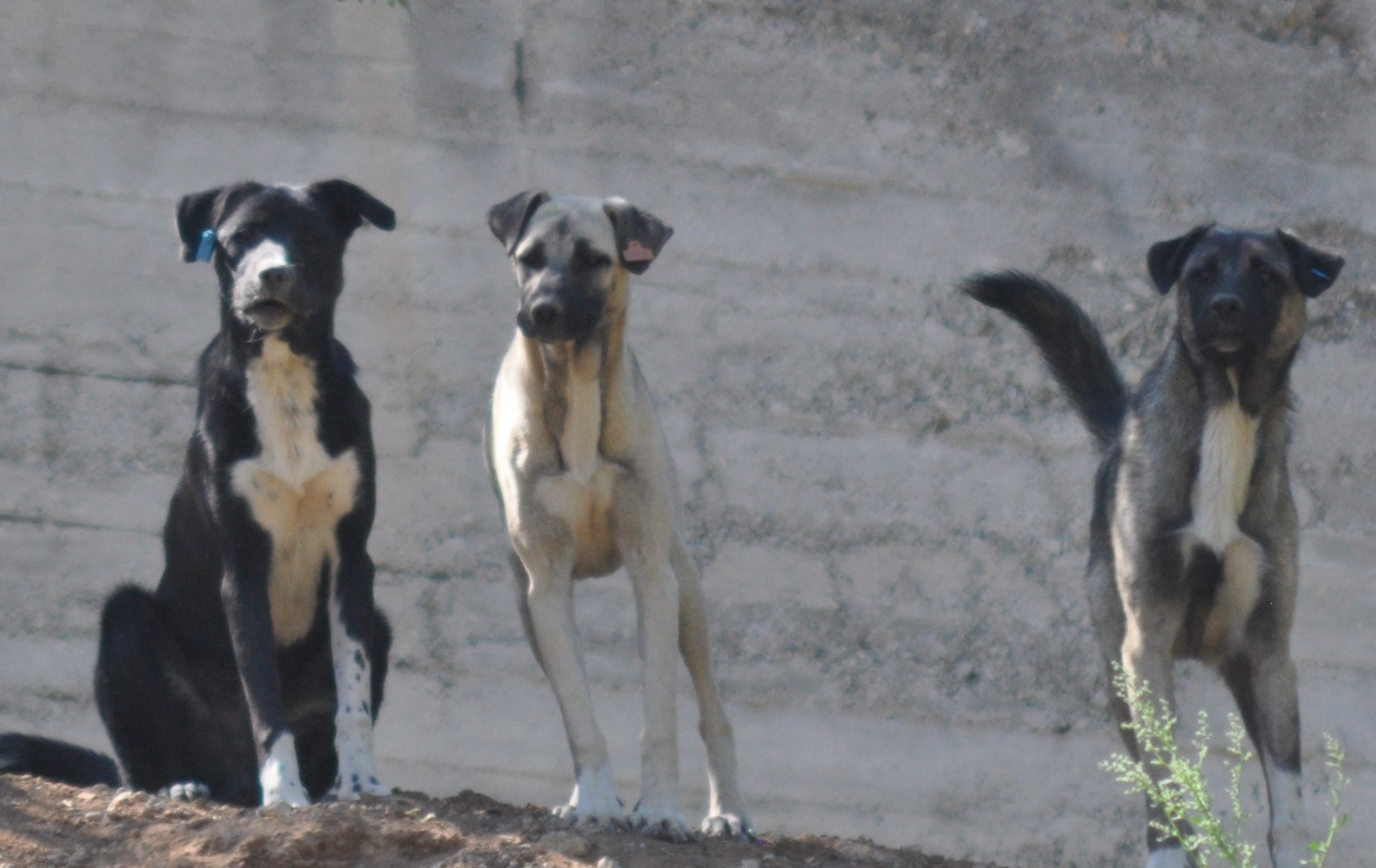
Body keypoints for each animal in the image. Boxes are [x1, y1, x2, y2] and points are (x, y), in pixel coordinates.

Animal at [1, 178, 399, 808]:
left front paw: (359, 783)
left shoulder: (353, 560)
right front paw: (283, 793)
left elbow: (352, 698)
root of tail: (230, 776)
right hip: (124, 623)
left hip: (379, 624)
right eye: (240, 238)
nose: (272, 274)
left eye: (311, 236)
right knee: (141, 761)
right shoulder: (243, 566)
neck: (282, 377)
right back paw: (181, 784)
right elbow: (263, 699)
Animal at [478, 189, 748, 841]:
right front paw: (596, 801)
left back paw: (728, 813)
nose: (543, 311)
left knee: (713, 711)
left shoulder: (652, 573)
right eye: (528, 257)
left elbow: (661, 717)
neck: (574, 384)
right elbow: (578, 711)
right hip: (526, 607)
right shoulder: (546, 583)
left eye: (594, 259)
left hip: (688, 594)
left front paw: (661, 809)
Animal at [963, 225, 1337, 868]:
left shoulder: (1270, 654)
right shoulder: (1147, 642)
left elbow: (1287, 794)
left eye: (1266, 275)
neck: (1225, 415)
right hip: (1120, 670)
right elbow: (1165, 777)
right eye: (1201, 272)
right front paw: (1166, 852)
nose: (1225, 307)